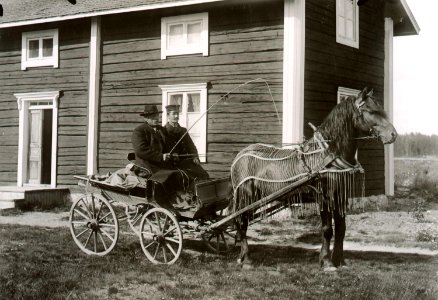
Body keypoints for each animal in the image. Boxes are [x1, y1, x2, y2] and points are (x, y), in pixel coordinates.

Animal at [229, 86, 396, 270]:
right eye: (371, 111)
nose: (393, 134)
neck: (328, 155)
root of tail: (241, 154)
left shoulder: (340, 196)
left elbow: (341, 228)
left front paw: (339, 260)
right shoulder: (325, 197)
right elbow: (327, 229)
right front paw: (327, 261)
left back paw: (242, 256)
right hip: (246, 196)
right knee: (242, 222)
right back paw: (246, 258)